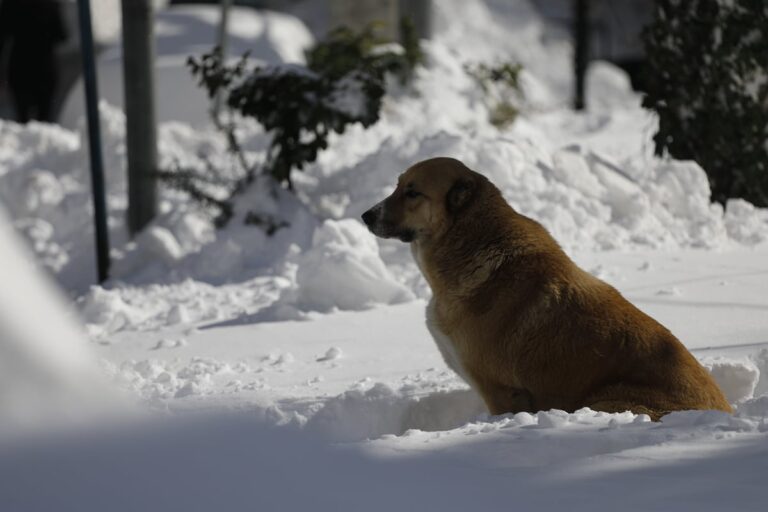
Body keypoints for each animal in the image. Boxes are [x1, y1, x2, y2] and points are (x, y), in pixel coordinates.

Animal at [360, 157, 732, 420]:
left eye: (412, 192)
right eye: (397, 186)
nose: (365, 215)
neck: (469, 242)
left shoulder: (501, 392)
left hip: (603, 402)